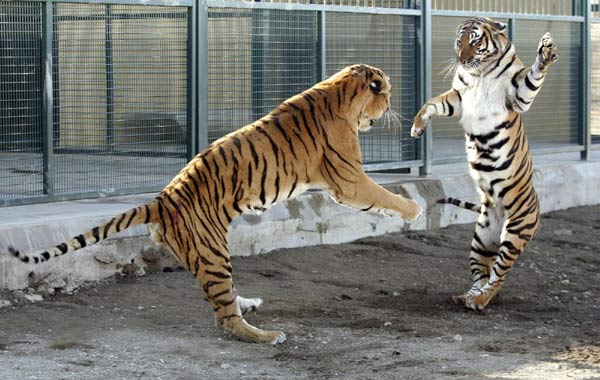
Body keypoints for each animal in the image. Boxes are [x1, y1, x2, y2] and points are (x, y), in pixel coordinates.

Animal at [8, 64, 422, 344]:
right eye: (385, 91)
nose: (392, 105)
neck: (340, 88)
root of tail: (161, 200)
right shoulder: (350, 181)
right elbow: (384, 196)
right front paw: (413, 210)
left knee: (227, 303)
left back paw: (250, 302)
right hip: (212, 252)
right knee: (225, 318)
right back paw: (266, 335)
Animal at [410, 17, 560, 312]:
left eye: (476, 40)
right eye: (460, 40)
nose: (461, 59)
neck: (480, 72)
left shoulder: (517, 95)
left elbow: (533, 77)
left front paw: (546, 52)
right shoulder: (458, 97)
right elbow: (431, 103)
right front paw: (417, 128)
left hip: (514, 233)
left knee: (498, 275)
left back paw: (479, 300)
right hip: (480, 238)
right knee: (483, 274)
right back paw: (466, 296)